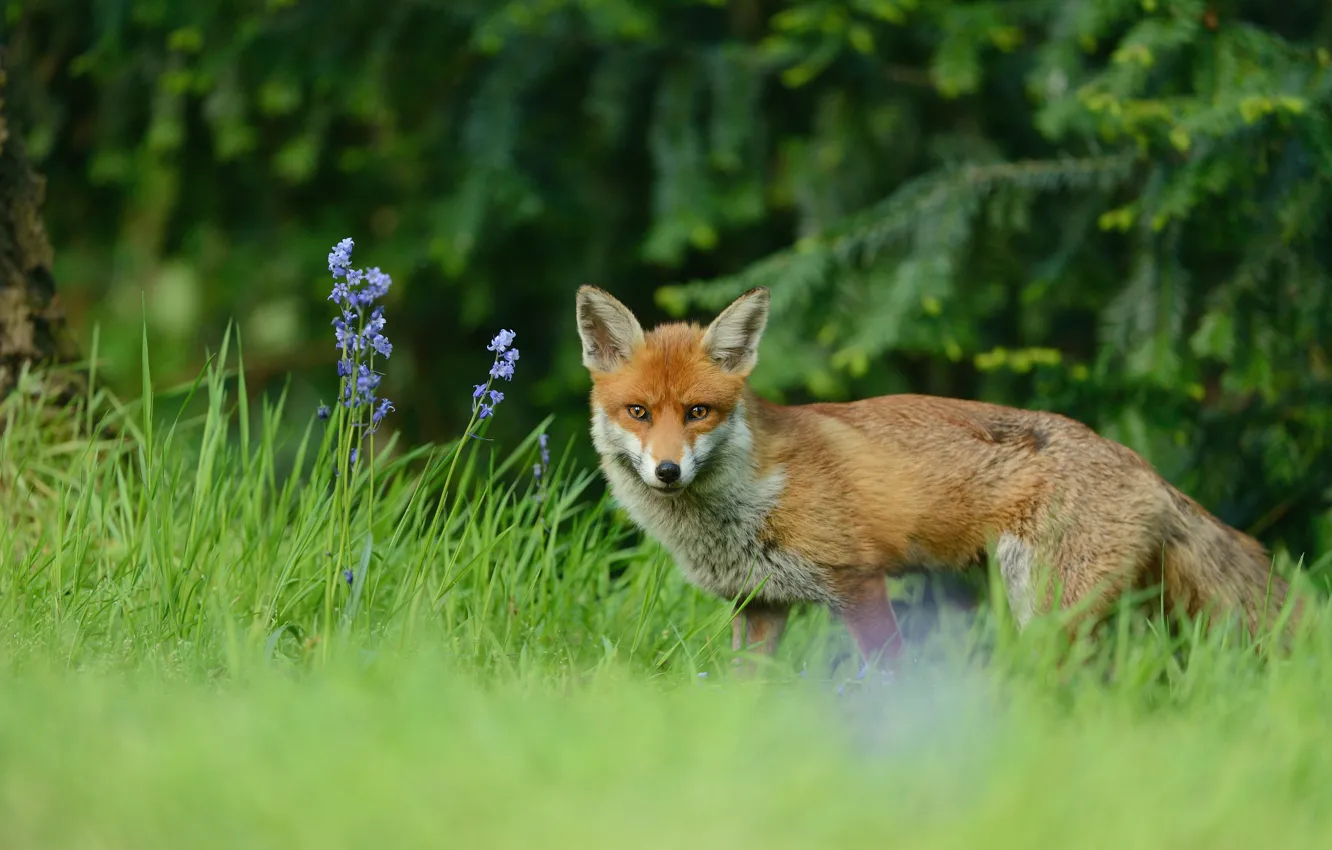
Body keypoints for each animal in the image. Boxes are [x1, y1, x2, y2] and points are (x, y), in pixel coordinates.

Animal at [575, 284, 1298, 669]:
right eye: (639, 412)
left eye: (698, 412)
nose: (668, 470)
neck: (744, 508)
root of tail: (1142, 465)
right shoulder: (759, 605)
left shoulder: (858, 585)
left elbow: (890, 682)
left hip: (1047, 610)